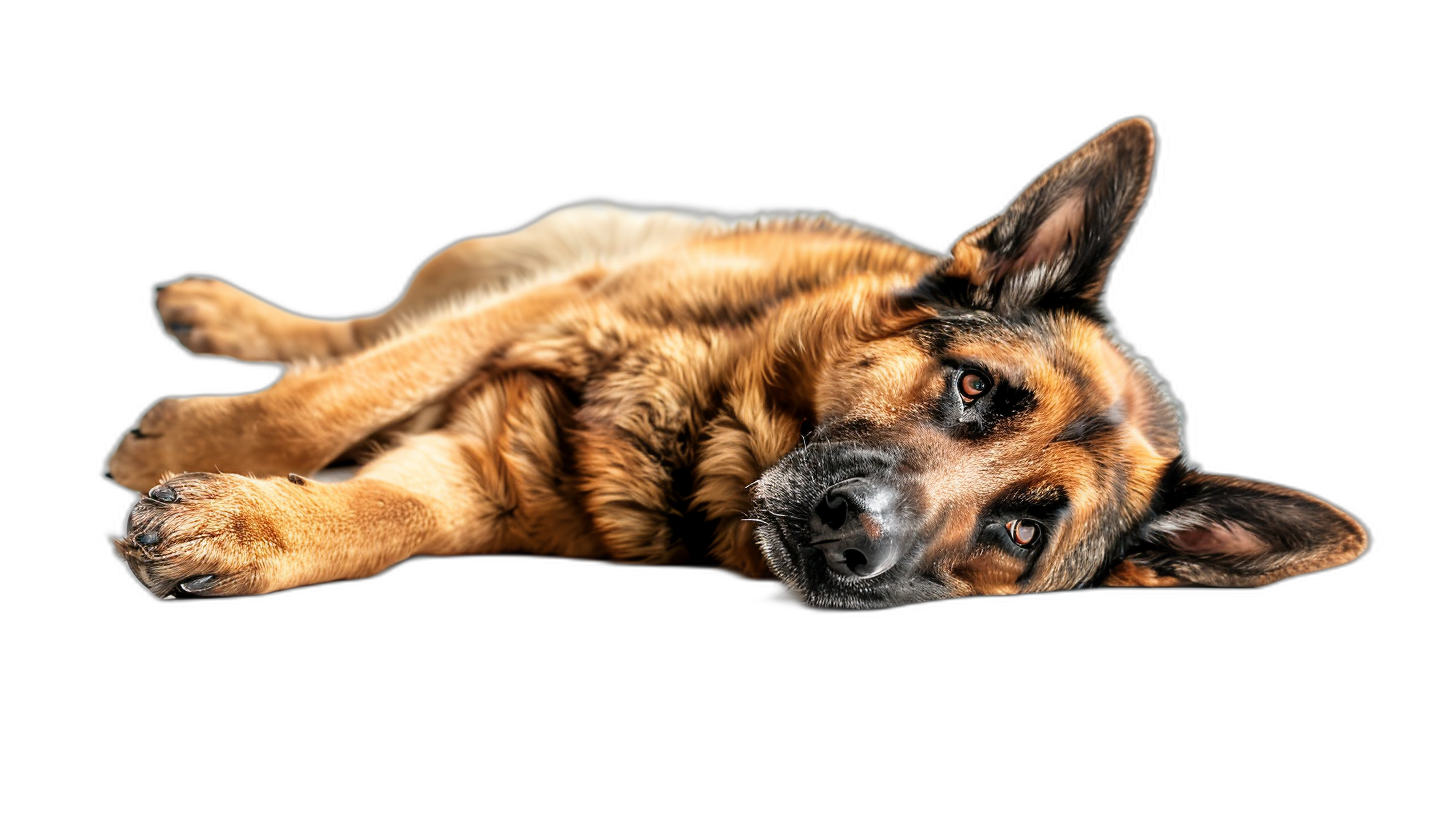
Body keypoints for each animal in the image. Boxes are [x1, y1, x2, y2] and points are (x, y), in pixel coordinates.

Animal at [102, 118, 1362, 609]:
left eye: (1020, 529)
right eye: (973, 388)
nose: (854, 535)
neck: (710, 439)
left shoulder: (480, 483)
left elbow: (386, 516)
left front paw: (250, 532)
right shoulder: (563, 307)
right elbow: (329, 401)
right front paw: (193, 444)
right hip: (505, 264)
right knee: (365, 333)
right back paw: (213, 312)